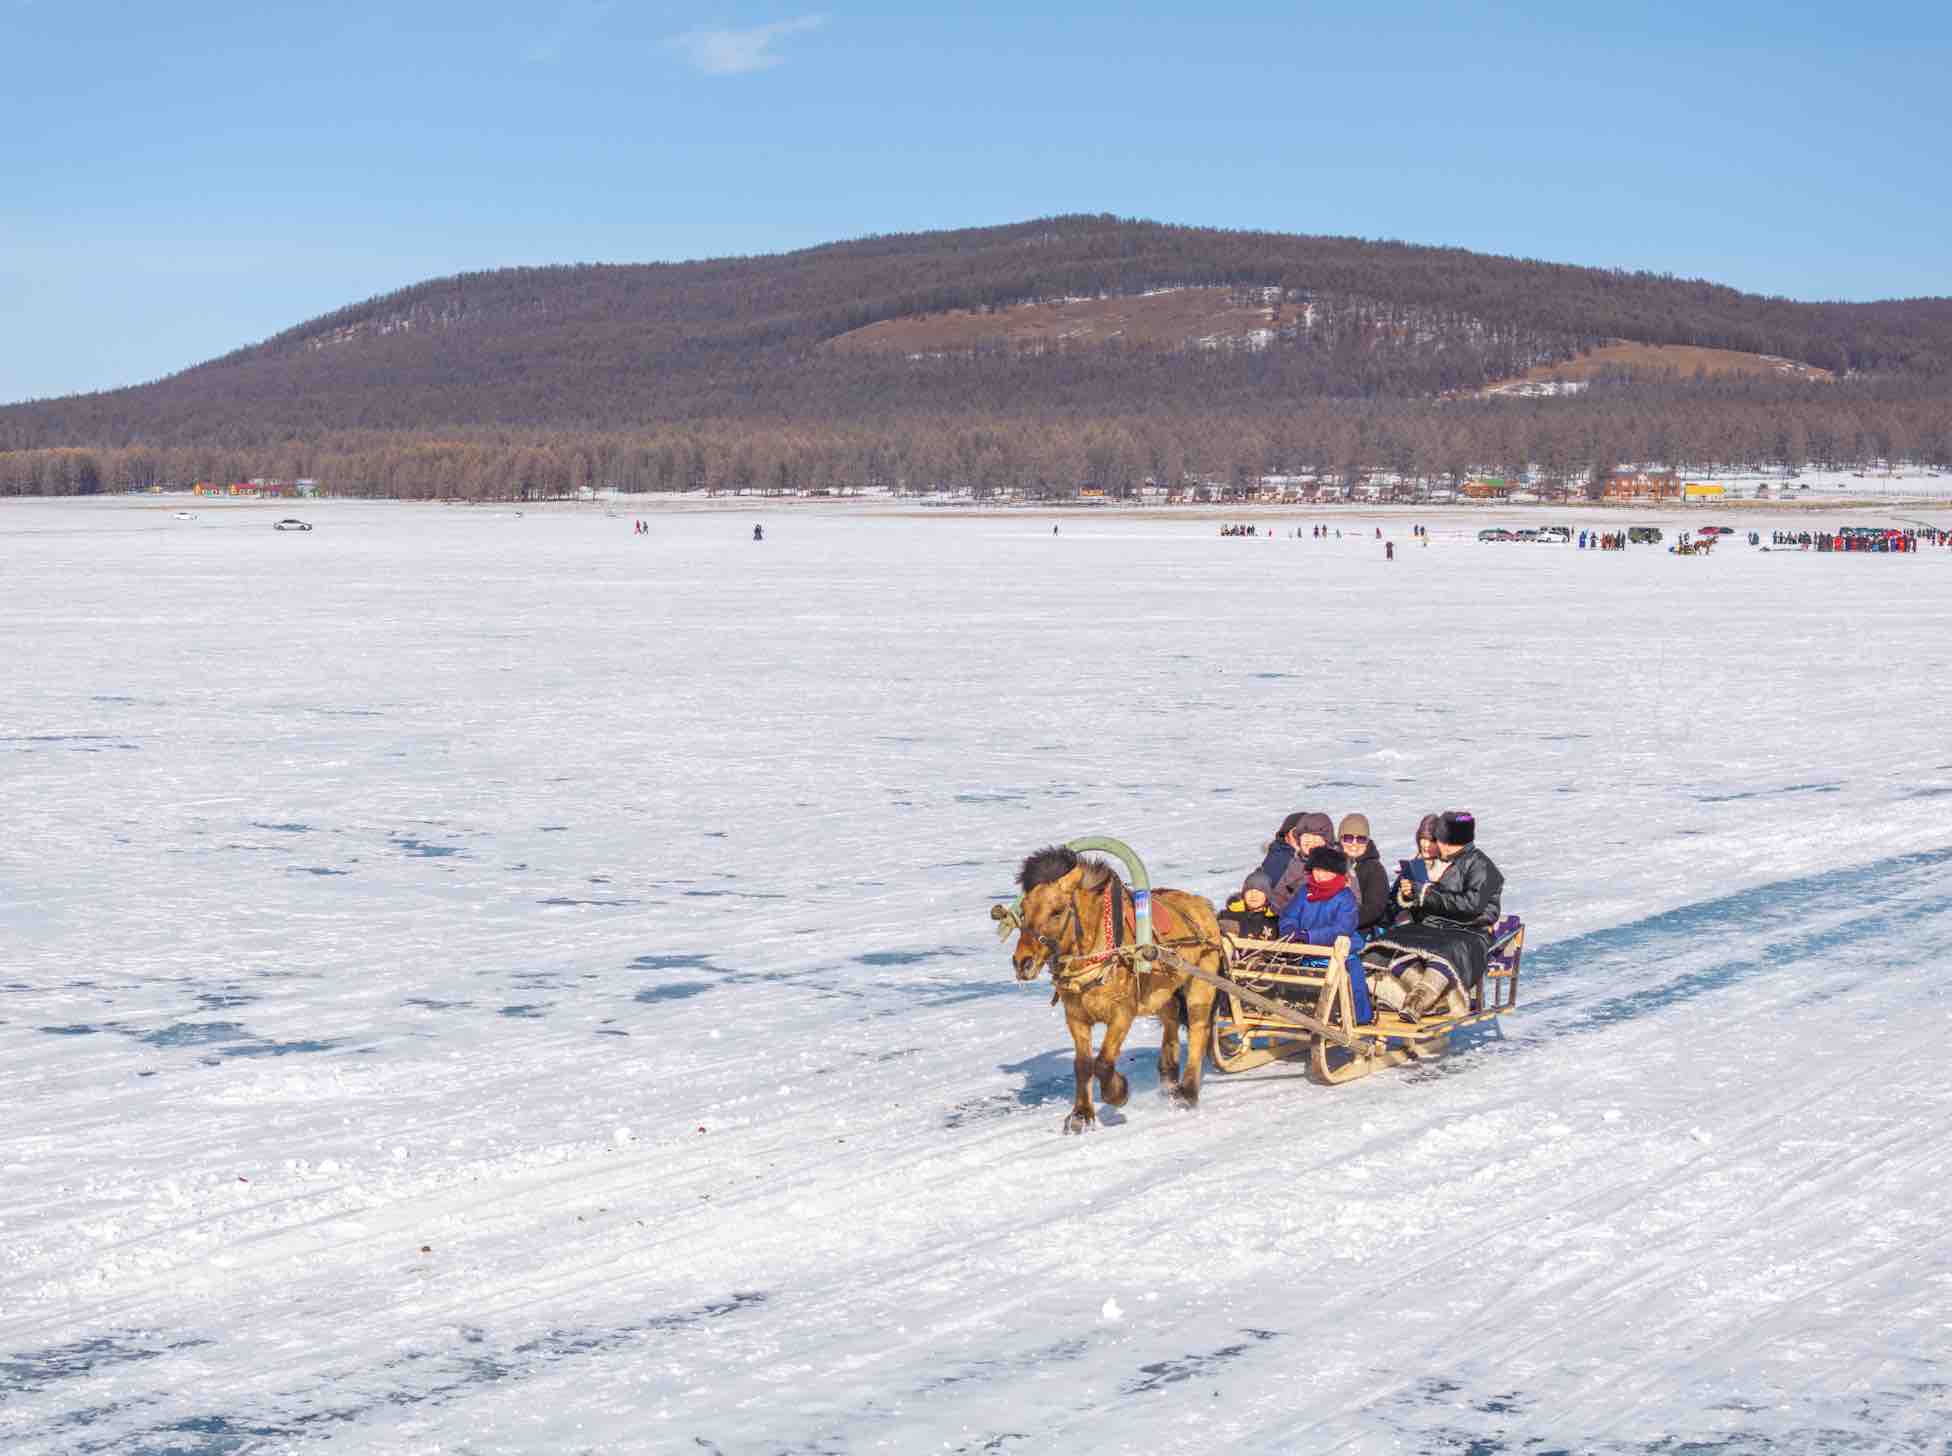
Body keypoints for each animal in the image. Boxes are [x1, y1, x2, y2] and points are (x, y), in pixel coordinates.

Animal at [1015, 847, 1210, 1132]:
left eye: (1057, 912)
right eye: (1022, 910)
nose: (1022, 962)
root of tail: (1202, 904)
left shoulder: (1121, 1013)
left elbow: (1103, 1062)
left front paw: (1118, 1093)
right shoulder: (1076, 1016)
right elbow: (1083, 1065)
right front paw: (1081, 1115)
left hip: (1200, 987)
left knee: (1198, 1031)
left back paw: (1188, 1093)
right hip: (1161, 994)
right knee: (1171, 1019)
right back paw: (1168, 1076)